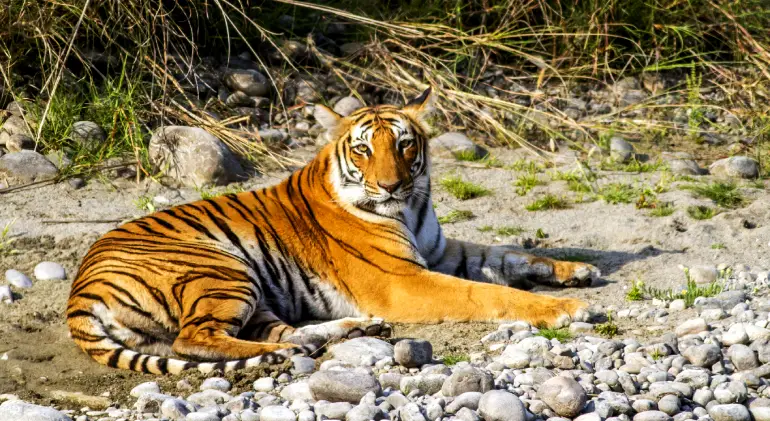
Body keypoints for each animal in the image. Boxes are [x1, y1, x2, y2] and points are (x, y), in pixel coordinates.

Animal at [66, 88, 596, 374]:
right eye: (363, 150)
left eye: (404, 144)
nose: (391, 185)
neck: (411, 207)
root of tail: (77, 292)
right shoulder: (404, 280)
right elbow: (482, 293)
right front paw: (565, 308)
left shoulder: (439, 252)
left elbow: (506, 254)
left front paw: (577, 270)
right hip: (220, 268)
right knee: (194, 338)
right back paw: (289, 351)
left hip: (249, 289)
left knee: (276, 329)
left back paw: (344, 332)